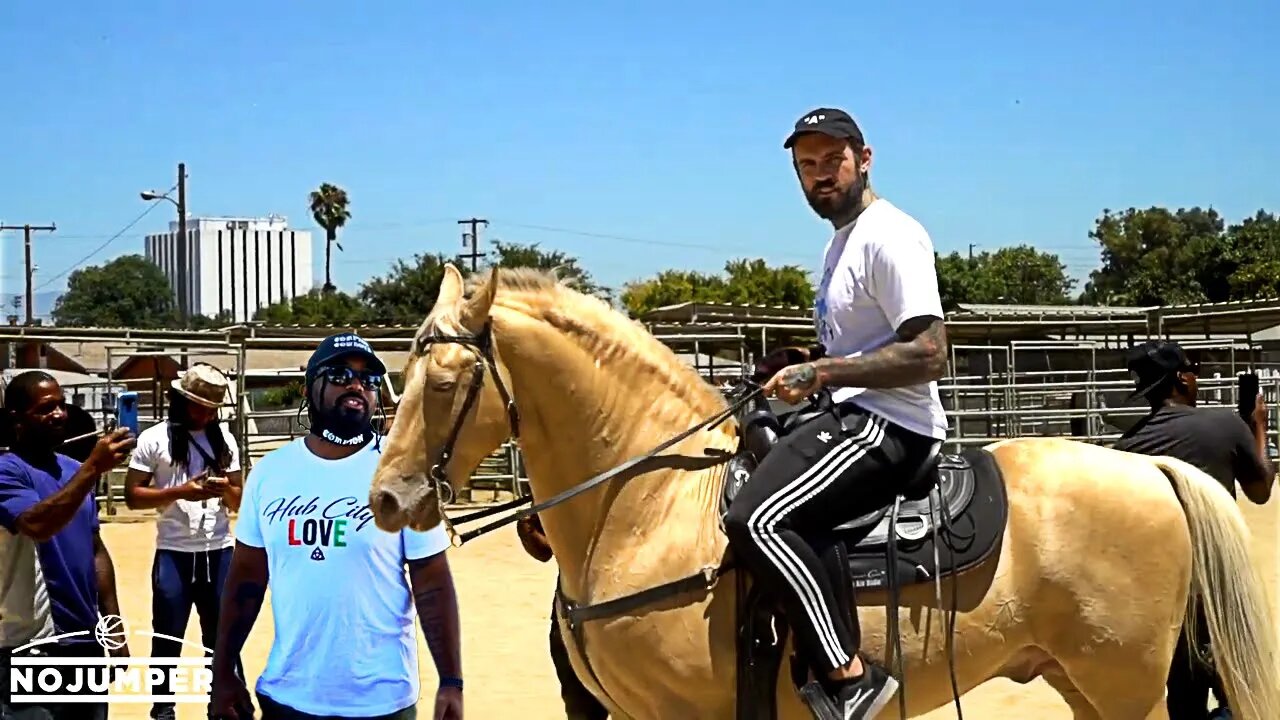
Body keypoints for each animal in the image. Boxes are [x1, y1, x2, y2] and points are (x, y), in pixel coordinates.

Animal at [366, 265, 1274, 717]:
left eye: (442, 382)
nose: (388, 500)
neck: (646, 507)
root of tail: (1151, 469)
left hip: (1122, 682)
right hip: (1081, 681)